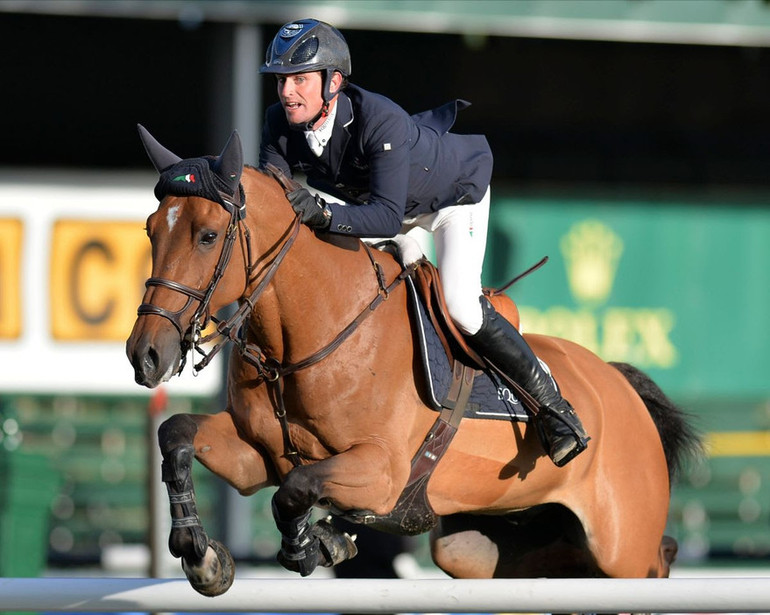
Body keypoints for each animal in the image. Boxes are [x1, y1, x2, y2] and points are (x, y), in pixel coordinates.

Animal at [127, 127, 704, 600]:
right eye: (152, 230)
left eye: (207, 236)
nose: (145, 355)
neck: (305, 336)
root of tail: (620, 385)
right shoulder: (255, 457)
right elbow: (177, 434)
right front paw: (201, 556)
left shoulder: (381, 471)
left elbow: (295, 490)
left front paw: (312, 546)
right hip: (479, 546)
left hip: (621, 545)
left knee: (652, 560)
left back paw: (564, 427)